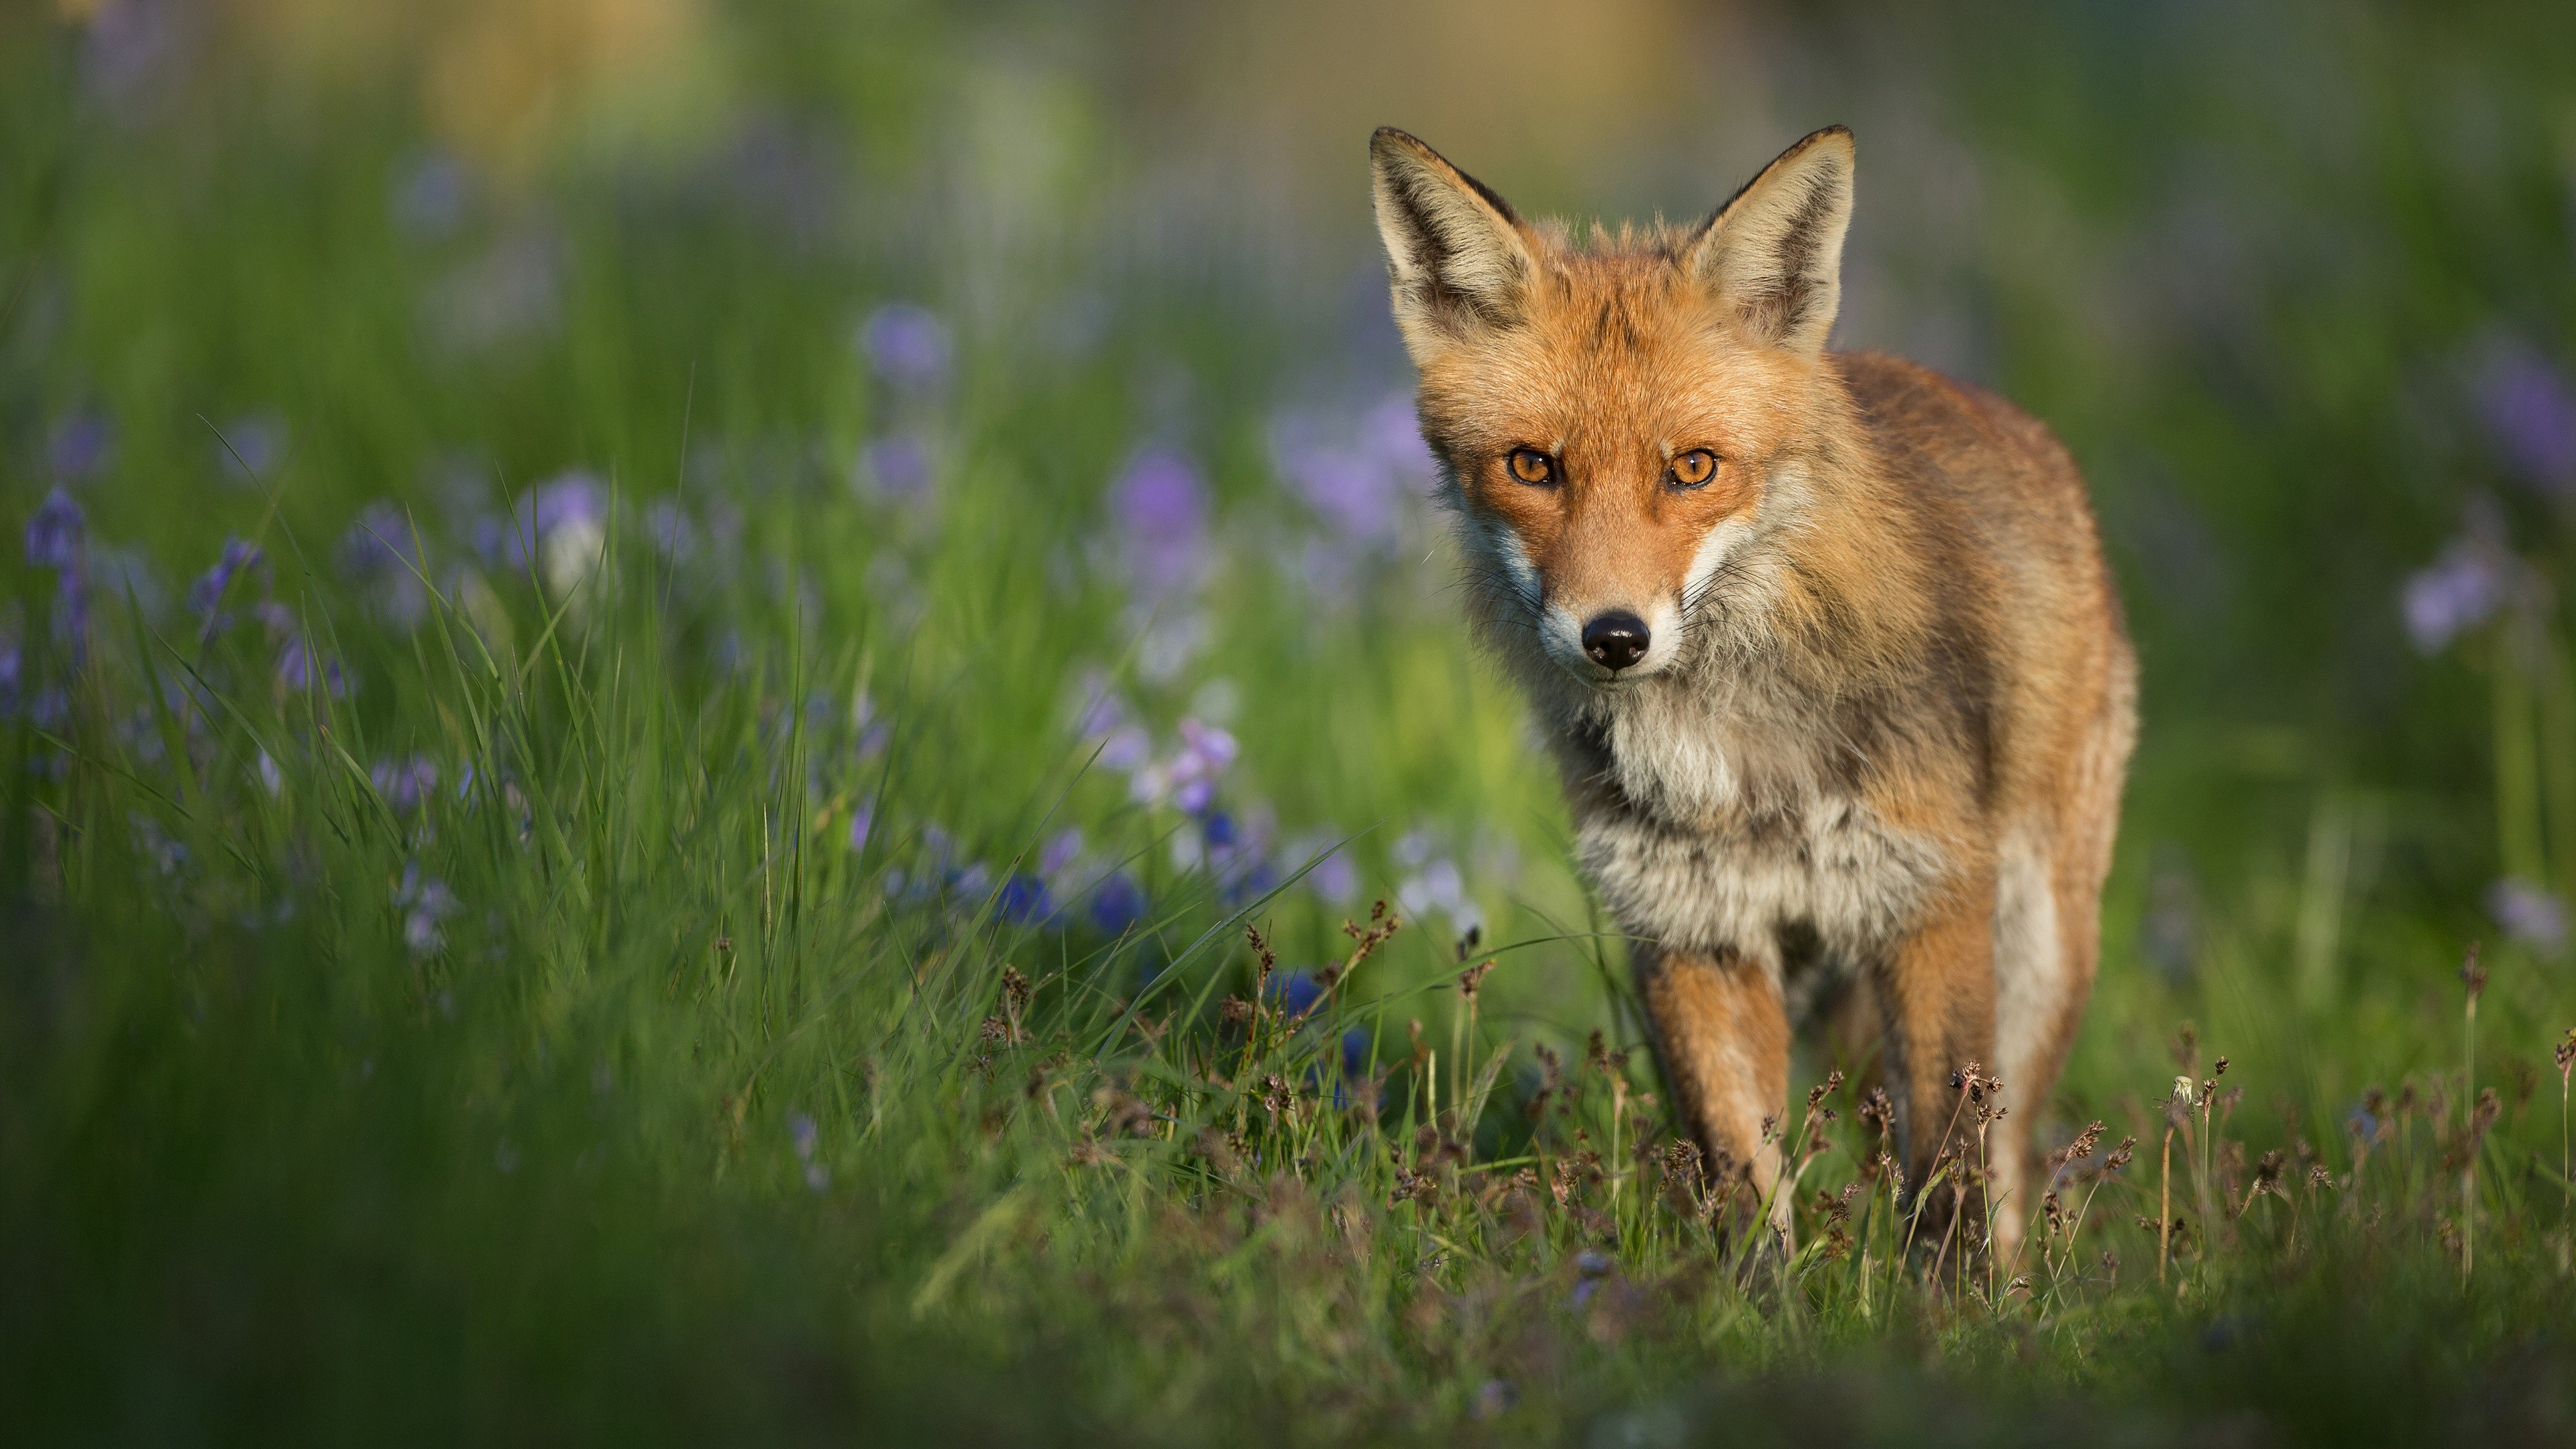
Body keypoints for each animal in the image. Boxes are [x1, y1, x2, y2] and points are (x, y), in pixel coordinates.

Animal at [1369, 124, 2136, 1262]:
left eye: (1694, 468)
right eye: (1531, 466)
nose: (1615, 637)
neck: (1735, 761)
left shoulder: (1929, 901)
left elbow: (1949, 1168)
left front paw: (1950, 1300)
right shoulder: (1690, 926)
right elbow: (1740, 1171)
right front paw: (1754, 1297)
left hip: (2041, 944)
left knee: (2009, 1155)